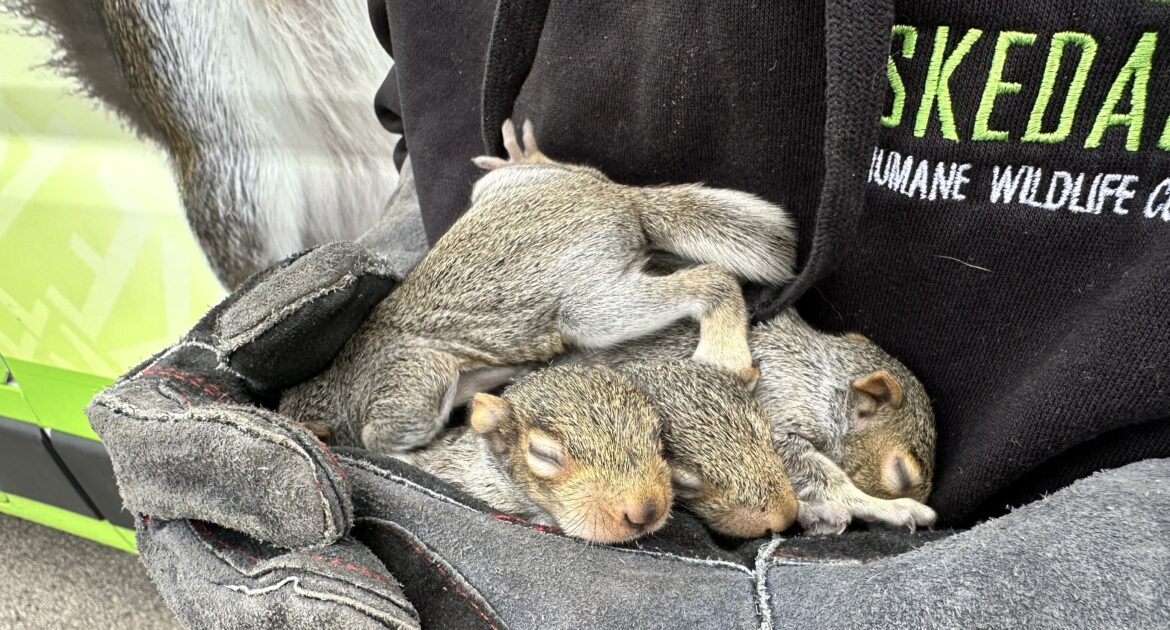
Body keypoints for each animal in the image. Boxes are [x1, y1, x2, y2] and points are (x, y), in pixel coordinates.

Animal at [280, 119, 797, 453]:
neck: (336, 385)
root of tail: (619, 200)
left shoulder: (404, 384)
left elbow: (393, 426)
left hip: (592, 306)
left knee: (713, 281)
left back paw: (724, 353)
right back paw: (531, 157)